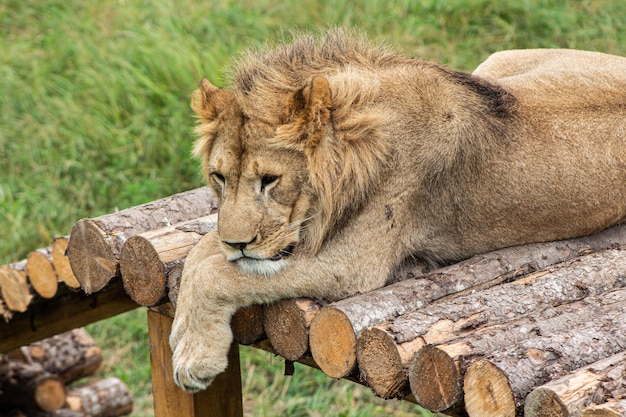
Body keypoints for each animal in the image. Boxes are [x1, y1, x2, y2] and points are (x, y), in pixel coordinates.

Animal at [167, 29, 624, 390]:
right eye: (219, 176)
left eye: (270, 180)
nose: (237, 243)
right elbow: (201, 254)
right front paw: (186, 330)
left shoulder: (352, 264)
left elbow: (217, 272)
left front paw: (194, 358)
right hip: (498, 64)